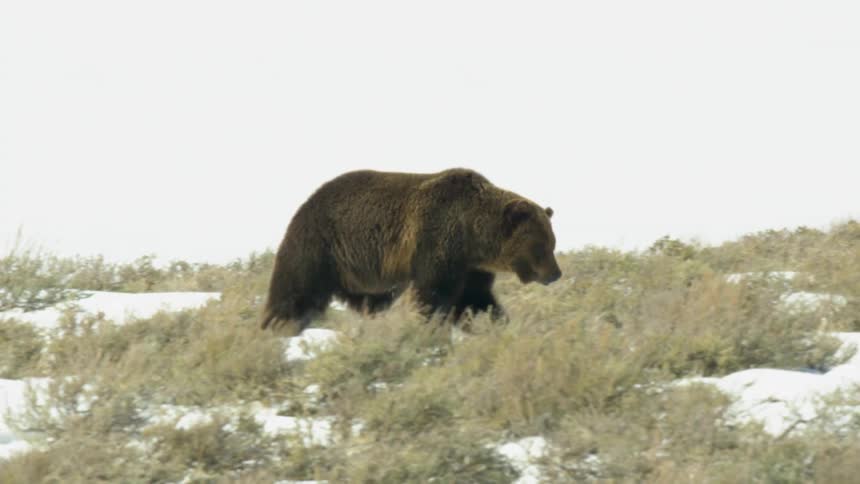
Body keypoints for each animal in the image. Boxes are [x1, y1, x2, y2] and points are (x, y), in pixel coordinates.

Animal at [261, 168, 561, 332]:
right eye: (540, 246)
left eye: (552, 242)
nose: (555, 274)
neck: (472, 236)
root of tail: (306, 201)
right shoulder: (437, 242)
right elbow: (434, 295)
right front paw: (432, 328)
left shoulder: (471, 266)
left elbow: (475, 298)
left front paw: (496, 321)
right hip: (321, 245)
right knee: (296, 290)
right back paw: (278, 325)